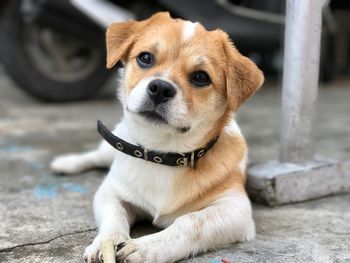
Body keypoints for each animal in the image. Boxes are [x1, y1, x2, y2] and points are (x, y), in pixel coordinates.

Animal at [50, 12, 264, 263]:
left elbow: (190, 222)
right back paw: (66, 163)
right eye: (145, 57)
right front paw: (106, 241)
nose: (160, 88)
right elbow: (114, 216)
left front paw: (147, 247)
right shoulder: (110, 190)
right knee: (95, 156)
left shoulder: (236, 210)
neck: (162, 154)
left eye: (201, 76)